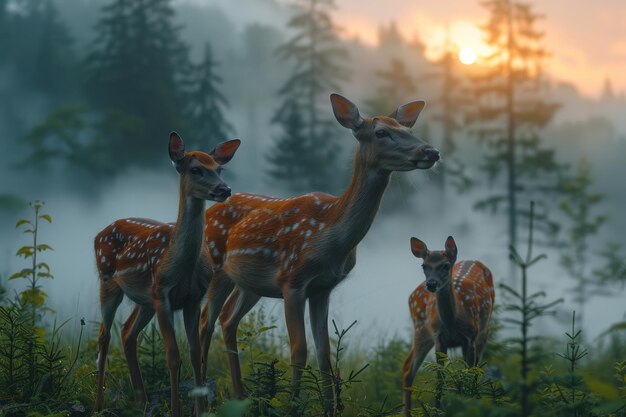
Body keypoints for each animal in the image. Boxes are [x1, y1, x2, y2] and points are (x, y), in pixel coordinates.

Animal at [92, 132, 239, 416]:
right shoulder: (163, 295)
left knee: (127, 332)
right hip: (108, 281)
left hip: (145, 299)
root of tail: (98, 233)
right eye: (196, 169)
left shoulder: (193, 298)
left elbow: (194, 352)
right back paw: (99, 403)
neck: (182, 268)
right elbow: (173, 355)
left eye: (219, 169)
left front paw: (199, 409)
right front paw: (175, 409)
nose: (224, 189)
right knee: (104, 335)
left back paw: (141, 401)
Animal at [200, 93, 438, 410]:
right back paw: (202, 395)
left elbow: (324, 354)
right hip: (216, 267)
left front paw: (330, 407)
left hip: (248, 283)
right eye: (381, 132)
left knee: (227, 319)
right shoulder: (292, 281)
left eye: (408, 129)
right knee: (205, 321)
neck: (330, 241)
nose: (432, 151)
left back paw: (240, 396)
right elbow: (299, 350)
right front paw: (292, 405)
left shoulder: (323, 288)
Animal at [402, 236, 494, 414]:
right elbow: (440, 381)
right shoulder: (439, 338)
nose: (431, 283)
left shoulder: (470, 337)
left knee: (475, 370)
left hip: (483, 331)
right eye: (424, 266)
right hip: (421, 329)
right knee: (408, 368)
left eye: (445, 265)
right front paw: (437, 410)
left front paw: (467, 402)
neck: (452, 322)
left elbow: (468, 374)